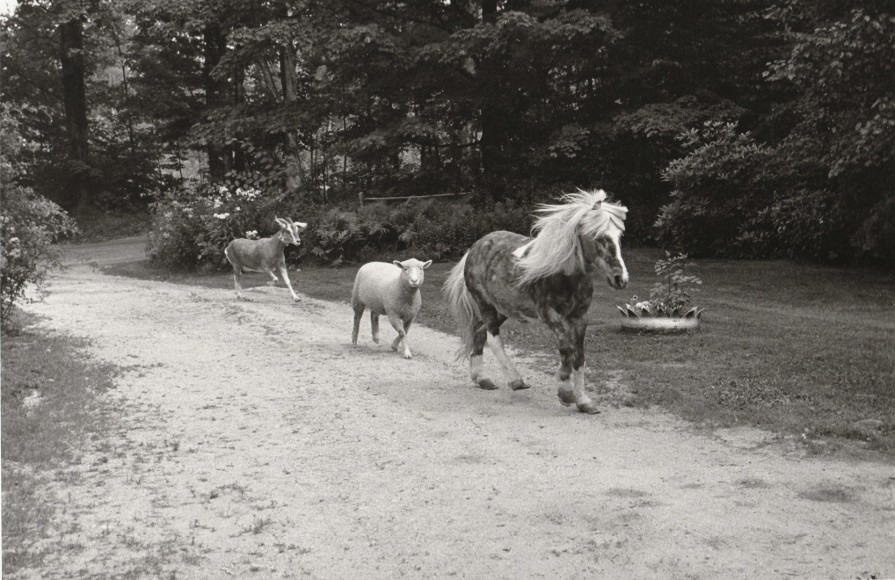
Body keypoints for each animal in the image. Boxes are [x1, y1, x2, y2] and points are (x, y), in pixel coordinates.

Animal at [442, 189, 628, 414]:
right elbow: (566, 348)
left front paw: (584, 401)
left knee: (479, 334)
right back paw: (516, 380)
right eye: (600, 237)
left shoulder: (579, 318)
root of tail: (474, 248)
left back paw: (482, 379)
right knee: (493, 339)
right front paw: (565, 393)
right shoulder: (549, 314)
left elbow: (579, 356)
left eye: (619, 236)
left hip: (502, 309)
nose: (621, 279)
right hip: (485, 304)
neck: (565, 274)